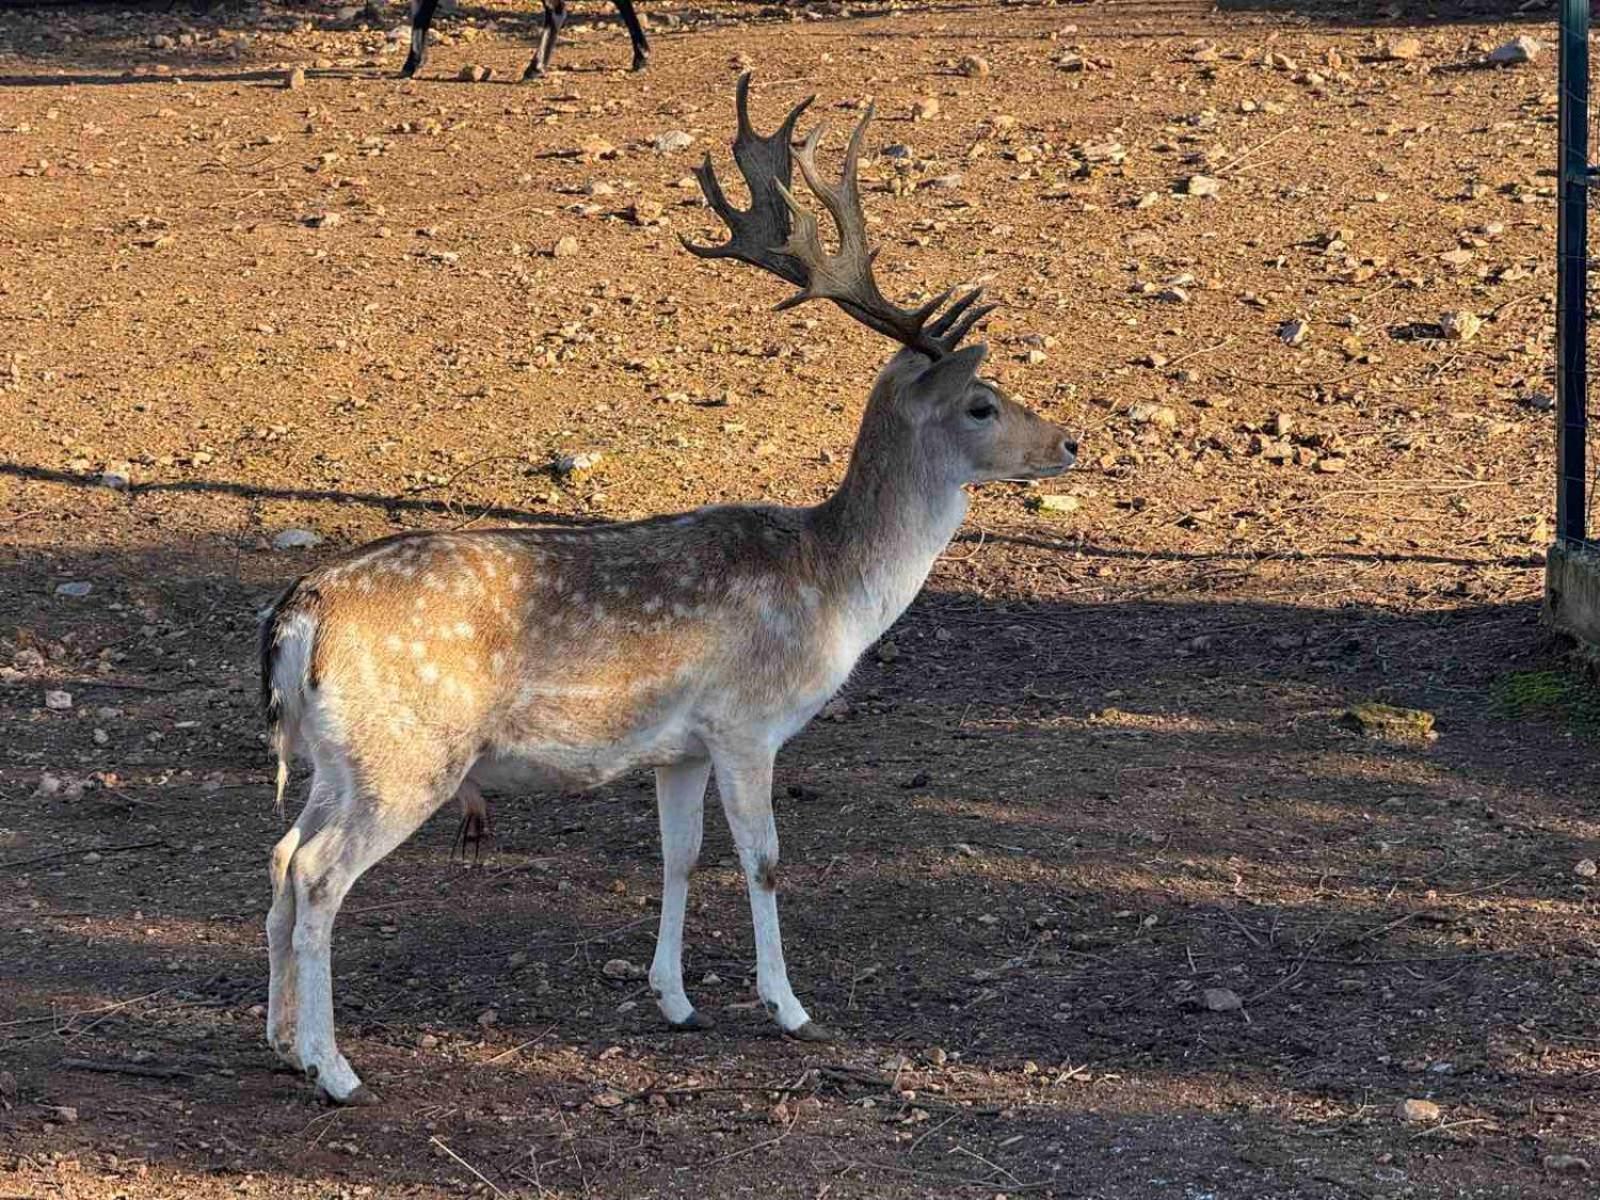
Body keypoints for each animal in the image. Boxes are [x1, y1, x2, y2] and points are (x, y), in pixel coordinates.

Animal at [262, 72, 1081, 1107]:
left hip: (339, 756)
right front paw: (789, 1009)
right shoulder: (746, 720)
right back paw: (334, 1068)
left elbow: (680, 857)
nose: (1070, 441)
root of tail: (299, 617)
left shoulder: (678, 748)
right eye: (982, 404)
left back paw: (281, 1042)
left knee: (281, 857)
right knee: (321, 874)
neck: (834, 589)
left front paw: (676, 1000)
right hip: (410, 752)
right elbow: (765, 862)